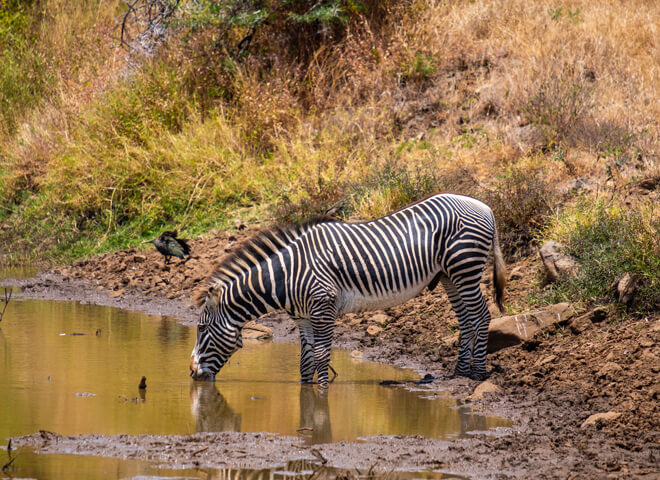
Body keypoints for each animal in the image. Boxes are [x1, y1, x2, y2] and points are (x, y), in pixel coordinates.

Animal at [190, 193, 506, 385]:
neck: (288, 276)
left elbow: (321, 355)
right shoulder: (303, 317)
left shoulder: (323, 307)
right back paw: (460, 372)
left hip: (465, 267)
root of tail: (485, 206)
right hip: (449, 276)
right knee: (466, 320)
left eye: (202, 328)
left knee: (481, 317)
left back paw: (478, 374)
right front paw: (306, 393)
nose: (191, 374)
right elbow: (305, 360)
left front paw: (322, 393)